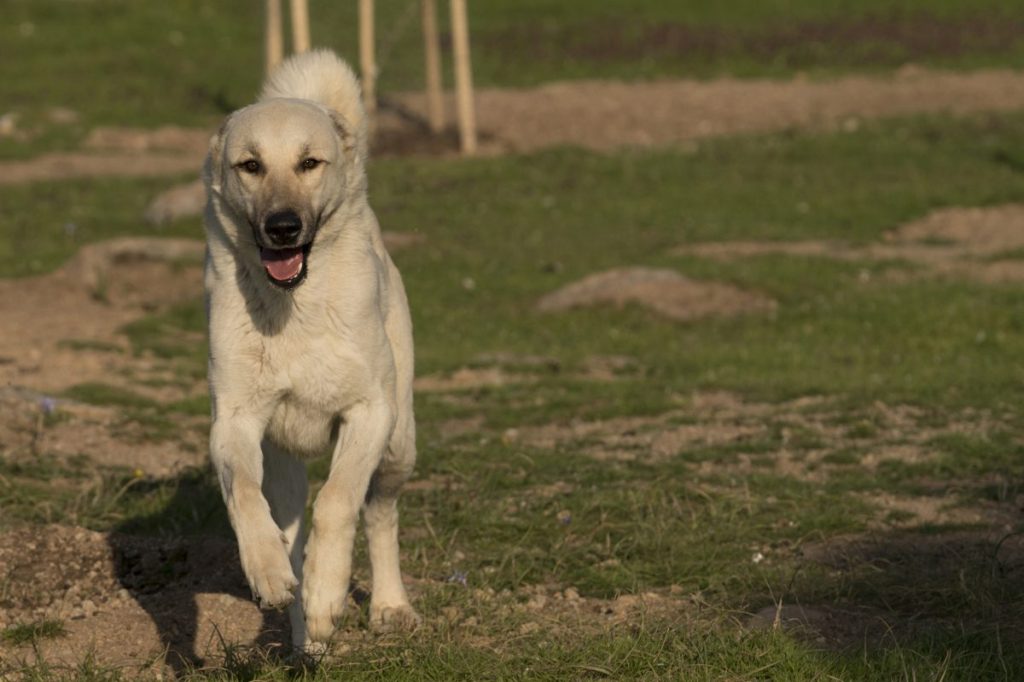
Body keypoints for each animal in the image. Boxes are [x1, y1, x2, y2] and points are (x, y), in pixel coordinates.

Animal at [201, 49, 417, 647]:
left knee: (380, 513)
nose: (282, 226)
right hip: (284, 466)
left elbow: (339, 501)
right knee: (289, 523)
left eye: (309, 163)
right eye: (250, 165)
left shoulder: (369, 412)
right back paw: (305, 637)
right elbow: (244, 496)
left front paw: (326, 594)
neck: (293, 309)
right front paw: (269, 571)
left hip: (399, 445)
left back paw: (388, 606)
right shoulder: (233, 422)